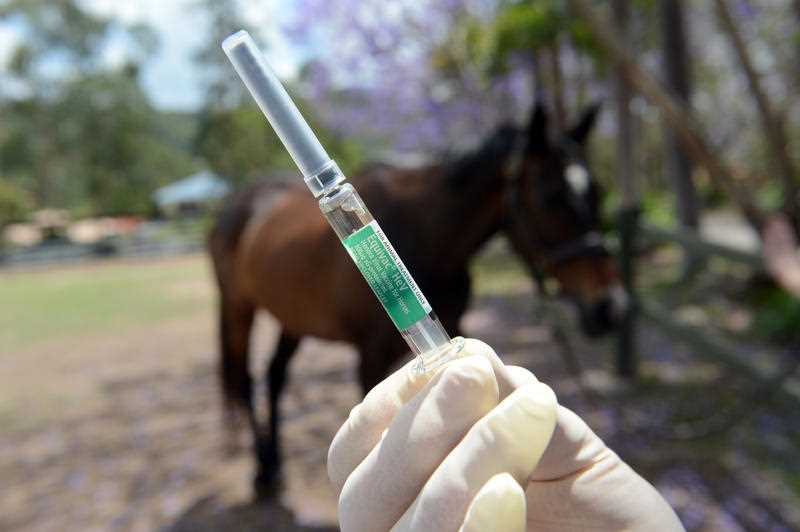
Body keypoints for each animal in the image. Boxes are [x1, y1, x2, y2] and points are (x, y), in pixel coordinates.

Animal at [206, 103, 620, 494]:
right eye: (551, 198)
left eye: (598, 192)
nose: (608, 307)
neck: (427, 234)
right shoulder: (370, 355)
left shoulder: (452, 324)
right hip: (237, 307)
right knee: (245, 379)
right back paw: (263, 472)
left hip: (293, 316)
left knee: (275, 376)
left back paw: (275, 466)